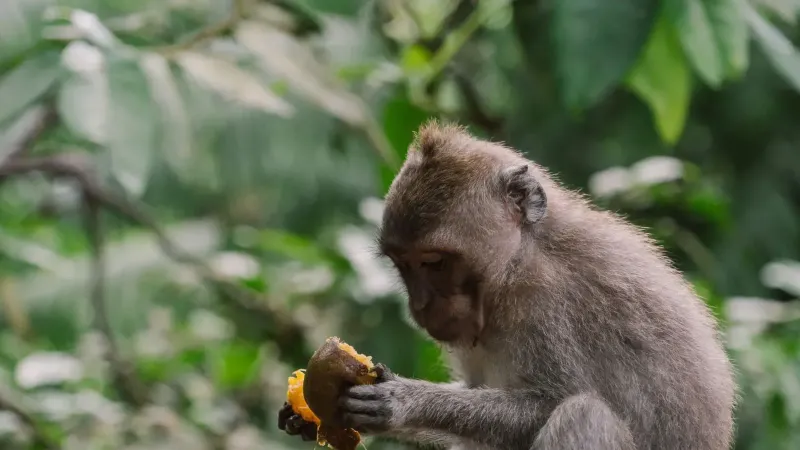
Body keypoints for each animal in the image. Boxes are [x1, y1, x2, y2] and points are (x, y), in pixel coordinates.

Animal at [278, 121, 736, 450]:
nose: (420, 306)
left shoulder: (543, 298)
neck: (516, 260)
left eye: (434, 263)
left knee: (582, 415)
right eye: (402, 264)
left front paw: (405, 402)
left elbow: (551, 402)